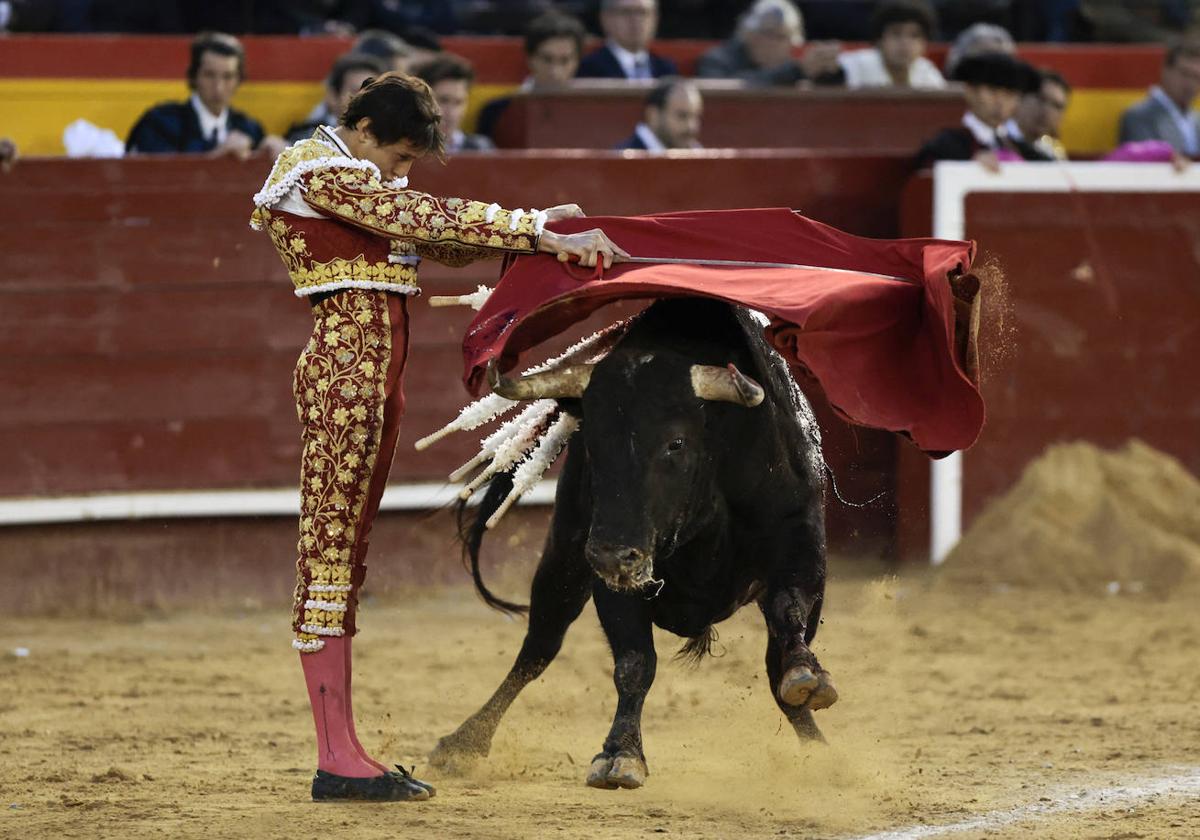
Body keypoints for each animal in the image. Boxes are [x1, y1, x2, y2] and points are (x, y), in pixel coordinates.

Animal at [432, 296, 835, 787]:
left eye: (676, 443)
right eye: (590, 443)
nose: (610, 554)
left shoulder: (801, 544)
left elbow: (788, 620)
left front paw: (806, 678)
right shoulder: (612, 575)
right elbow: (633, 662)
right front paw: (620, 754)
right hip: (565, 557)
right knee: (538, 647)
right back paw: (464, 742)